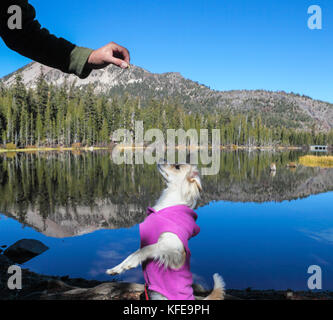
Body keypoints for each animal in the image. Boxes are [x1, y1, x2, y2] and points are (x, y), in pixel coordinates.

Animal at [106, 164, 226, 302]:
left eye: (177, 166)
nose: (160, 161)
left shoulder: (173, 248)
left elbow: (143, 250)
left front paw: (129, 264)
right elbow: (134, 253)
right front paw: (117, 268)